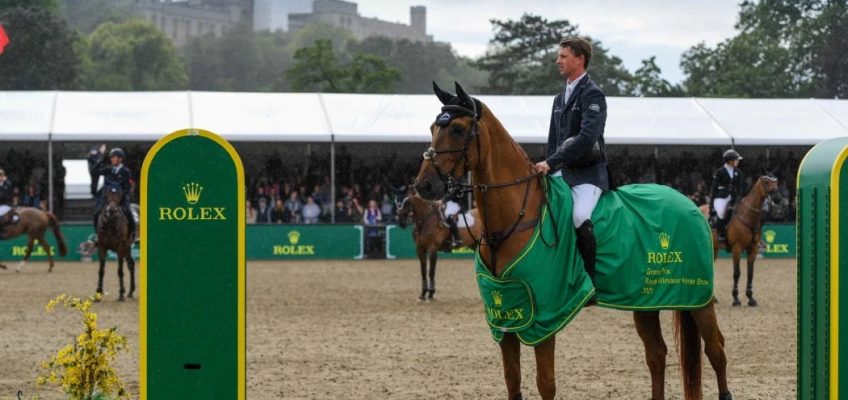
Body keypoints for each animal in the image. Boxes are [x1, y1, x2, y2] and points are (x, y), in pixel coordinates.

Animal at [414, 81, 732, 400]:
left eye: (457, 129)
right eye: (432, 127)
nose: (423, 186)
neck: (513, 220)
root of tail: (693, 206)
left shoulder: (544, 315)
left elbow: (546, 383)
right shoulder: (505, 317)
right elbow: (512, 380)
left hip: (698, 298)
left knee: (716, 349)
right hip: (646, 299)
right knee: (656, 354)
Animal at [700, 174, 780, 306]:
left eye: (776, 183)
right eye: (766, 182)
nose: (778, 200)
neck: (748, 216)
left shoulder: (753, 249)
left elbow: (750, 273)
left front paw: (750, 298)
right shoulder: (736, 248)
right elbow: (737, 273)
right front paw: (736, 298)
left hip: (714, 249)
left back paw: (713, 299)